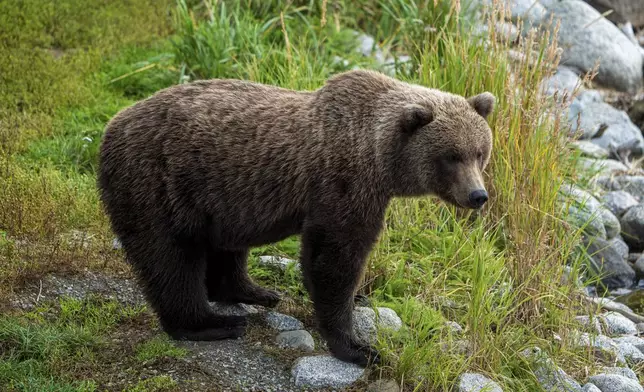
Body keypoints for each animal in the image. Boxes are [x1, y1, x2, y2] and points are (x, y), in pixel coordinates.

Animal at [97, 69, 498, 366]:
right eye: (451, 156)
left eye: (480, 152)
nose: (478, 195)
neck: (380, 160)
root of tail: (111, 125)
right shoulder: (343, 184)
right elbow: (334, 256)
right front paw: (358, 347)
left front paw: (359, 301)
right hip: (158, 183)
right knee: (171, 258)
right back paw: (212, 323)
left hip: (220, 198)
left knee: (225, 246)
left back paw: (254, 291)